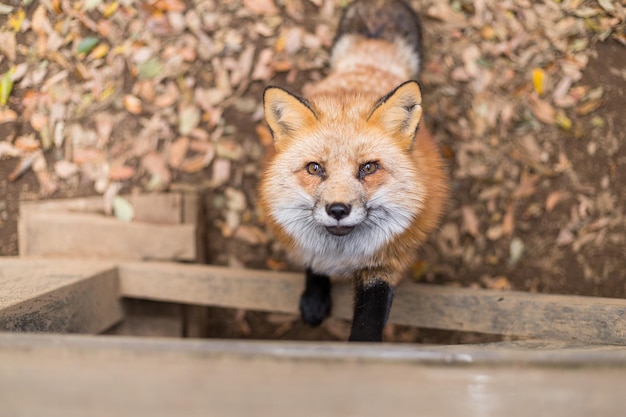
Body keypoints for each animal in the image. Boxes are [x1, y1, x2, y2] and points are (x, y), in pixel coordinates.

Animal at [258, 0, 448, 340]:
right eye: (315, 168)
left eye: (368, 168)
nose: (337, 209)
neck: (341, 255)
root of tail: (367, 65)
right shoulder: (307, 248)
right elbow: (313, 267)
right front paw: (315, 299)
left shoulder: (385, 266)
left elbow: (369, 322)